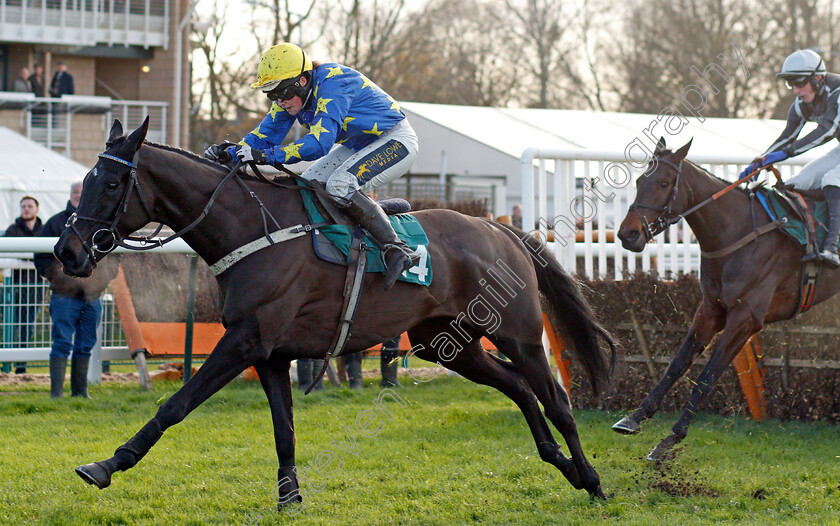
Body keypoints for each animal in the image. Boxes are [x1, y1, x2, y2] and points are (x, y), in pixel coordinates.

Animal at [55, 119, 612, 508]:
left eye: (110, 184)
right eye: (86, 179)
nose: (67, 252)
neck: (253, 228)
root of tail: (500, 229)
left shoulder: (244, 340)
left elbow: (176, 404)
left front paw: (107, 464)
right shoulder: (271, 354)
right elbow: (284, 430)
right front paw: (290, 498)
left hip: (519, 333)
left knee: (557, 399)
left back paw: (592, 479)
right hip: (447, 345)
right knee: (518, 388)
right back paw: (562, 464)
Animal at [612, 139, 840, 462]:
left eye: (664, 182)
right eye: (639, 181)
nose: (627, 234)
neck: (738, 234)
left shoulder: (745, 319)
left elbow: (707, 377)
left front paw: (670, 438)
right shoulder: (710, 309)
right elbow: (677, 364)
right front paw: (633, 417)